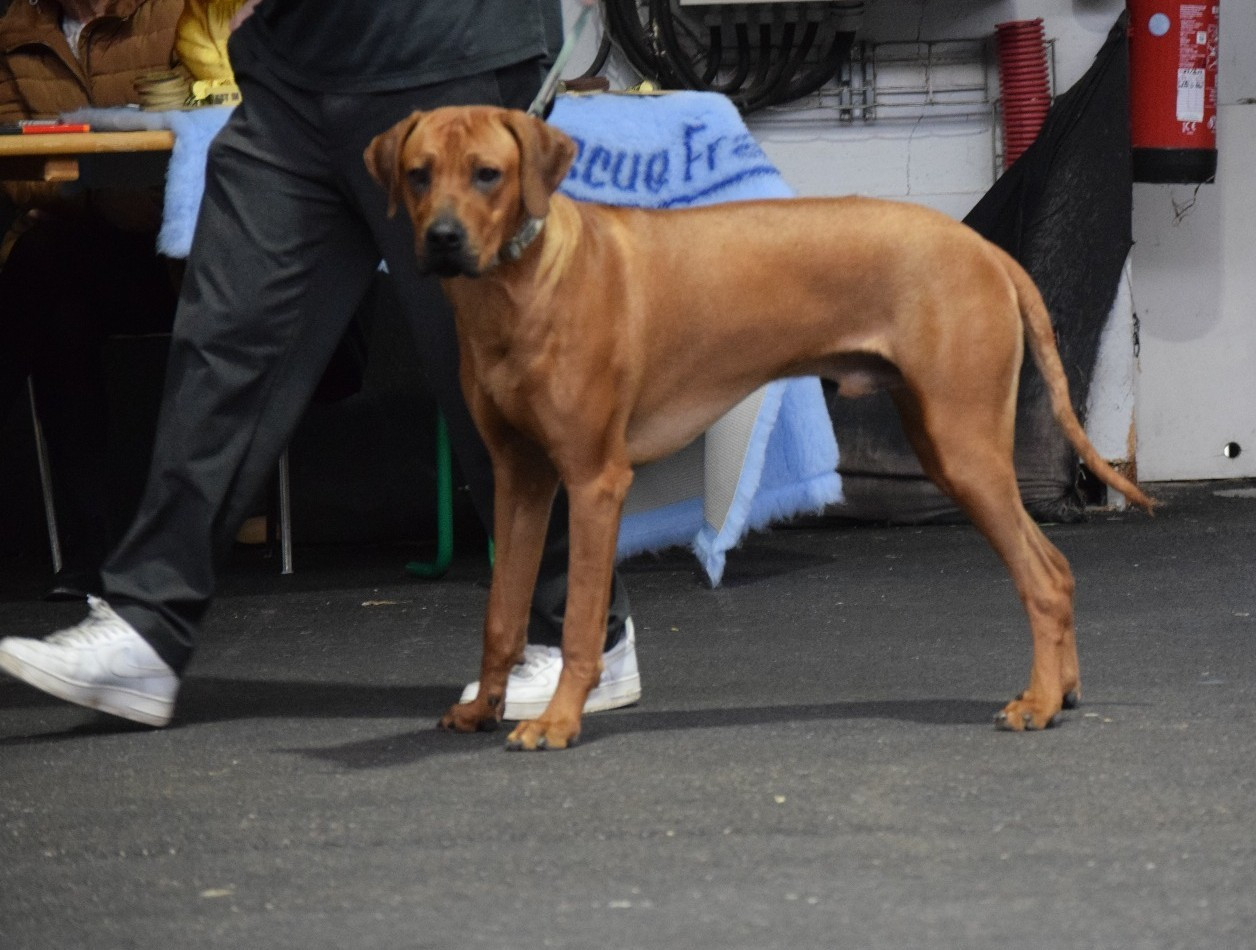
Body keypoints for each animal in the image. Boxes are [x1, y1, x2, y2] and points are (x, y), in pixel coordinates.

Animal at [364, 104, 1154, 750]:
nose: (441, 239)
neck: (521, 284)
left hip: (965, 447)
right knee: (1056, 568)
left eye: (488, 175)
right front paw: (483, 707)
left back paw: (1039, 703)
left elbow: (584, 615)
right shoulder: (520, 479)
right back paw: (1061, 690)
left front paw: (558, 721)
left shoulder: (593, 481)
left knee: (1043, 576)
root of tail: (985, 250)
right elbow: (501, 612)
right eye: (418, 174)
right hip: (943, 444)